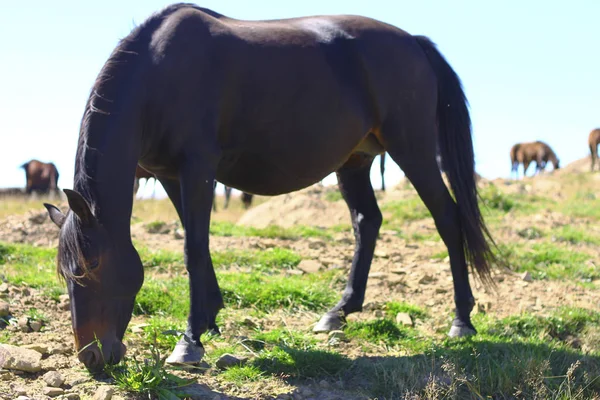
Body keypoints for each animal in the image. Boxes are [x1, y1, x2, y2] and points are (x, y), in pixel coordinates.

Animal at [43, 3, 496, 372]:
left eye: (90, 266)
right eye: (65, 273)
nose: (92, 357)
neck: (159, 73)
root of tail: (415, 43)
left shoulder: (198, 169)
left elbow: (193, 248)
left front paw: (189, 341)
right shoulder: (171, 175)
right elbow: (196, 240)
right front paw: (210, 318)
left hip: (412, 149)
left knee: (447, 218)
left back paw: (462, 320)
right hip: (356, 160)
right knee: (367, 221)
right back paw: (339, 312)